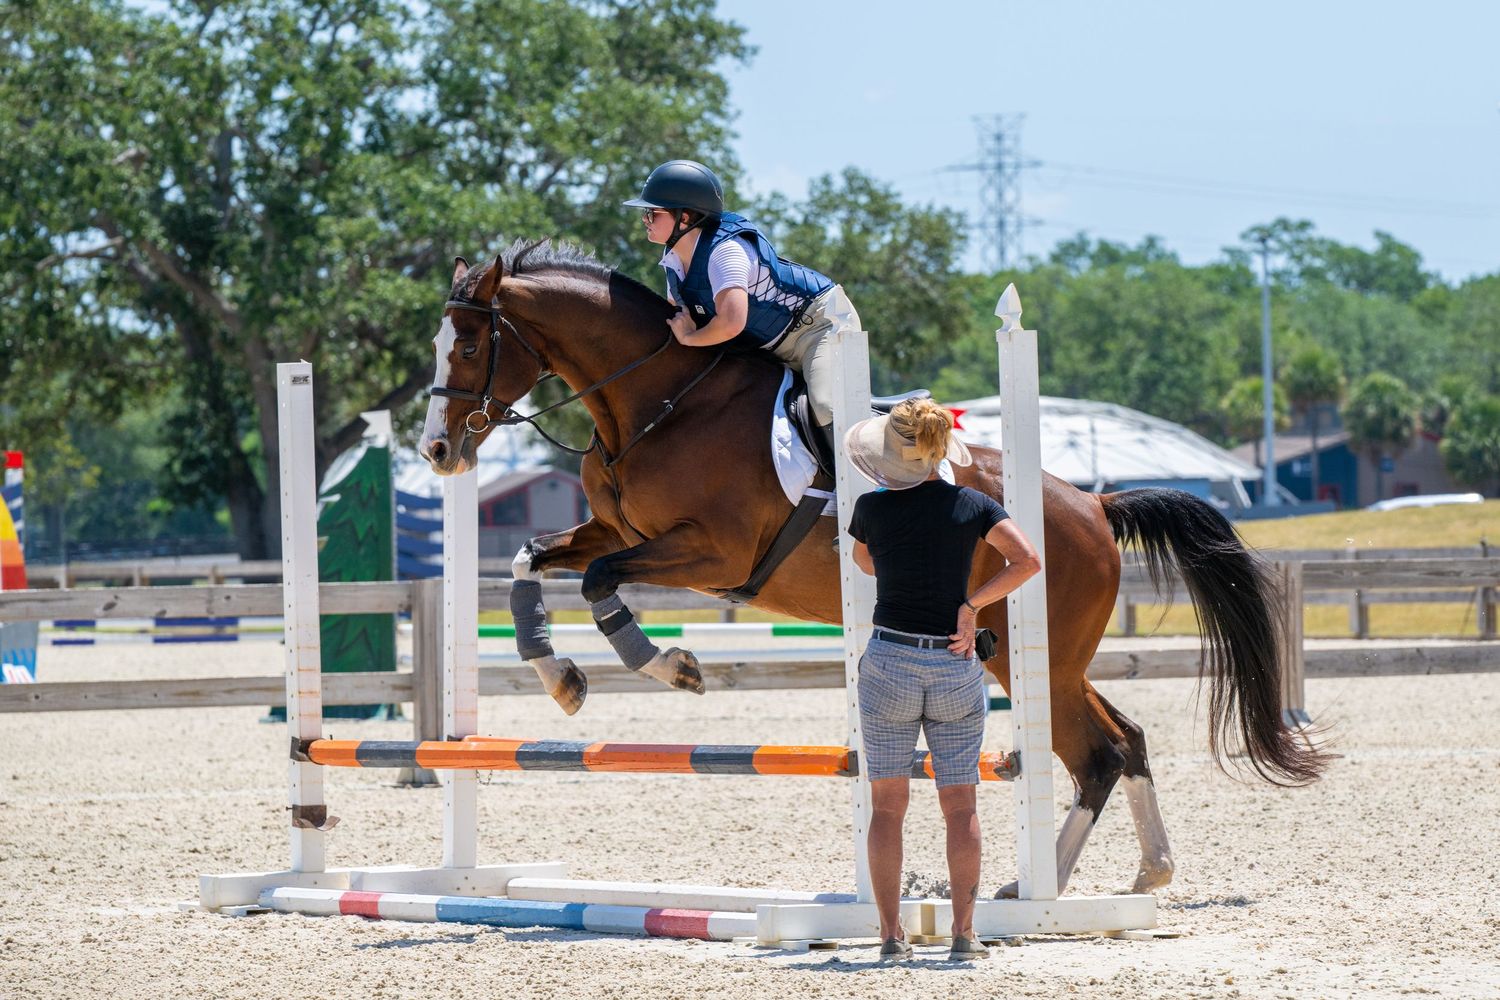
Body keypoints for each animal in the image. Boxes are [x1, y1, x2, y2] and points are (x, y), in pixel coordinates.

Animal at [418, 240, 1330, 896]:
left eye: (469, 343)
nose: (437, 451)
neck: (653, 405)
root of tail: (1092, 505)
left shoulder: (714, 553)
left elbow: (603, 581)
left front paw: (671, 665)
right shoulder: (612, 528)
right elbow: (534, 561)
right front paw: (561, 677)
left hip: (1032, 653)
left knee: (1095, 753)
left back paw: (1038, 891)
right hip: (1044, 657)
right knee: (1124, 740)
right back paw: (1138, 874)